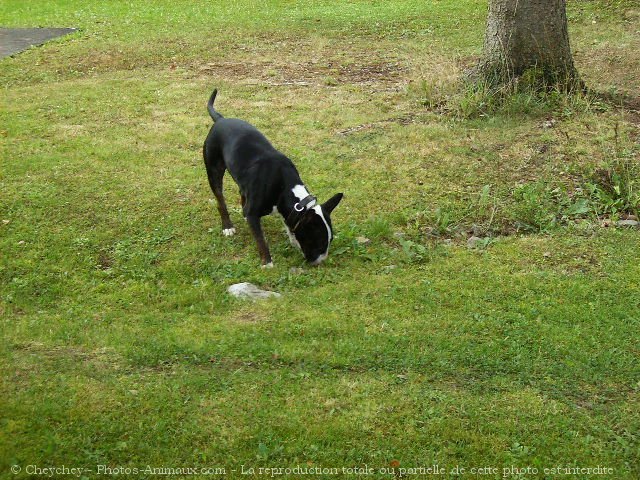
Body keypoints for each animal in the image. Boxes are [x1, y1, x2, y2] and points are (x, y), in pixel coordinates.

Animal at [205, 89, 344, 266]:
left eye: (330, 240)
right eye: (318, 242)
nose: (320, 261)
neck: (284, 189)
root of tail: (221, 119)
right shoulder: (254, 212)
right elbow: (260, 239)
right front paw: (267, 262)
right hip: (213, 170)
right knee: (220, 200)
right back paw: (227, 226)